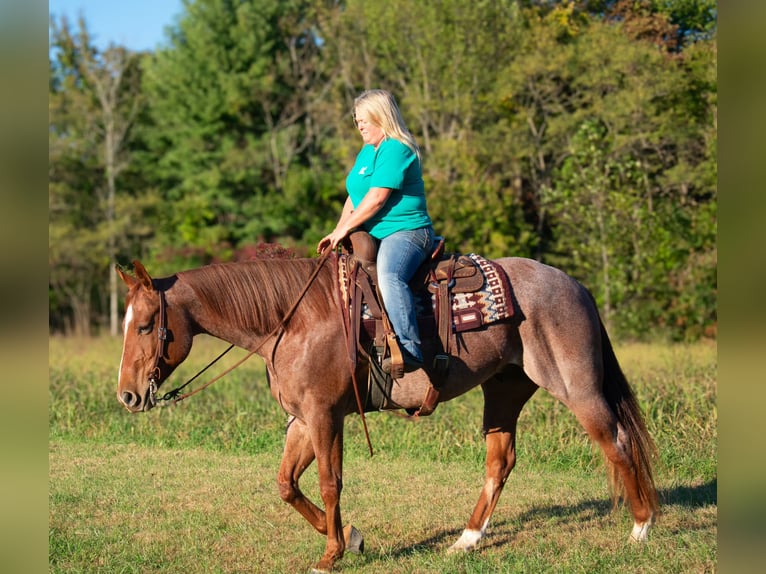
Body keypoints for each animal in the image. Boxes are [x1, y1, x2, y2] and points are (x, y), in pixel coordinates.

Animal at [115, 258, 660, 574]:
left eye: (145, 325)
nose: (127, 396)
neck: (293, 321)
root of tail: (575, 285)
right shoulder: (301, 420)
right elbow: (287, 484)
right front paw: (349, 538)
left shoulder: (324, 416)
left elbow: (330, 482)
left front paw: (331, 553)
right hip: (504, 391)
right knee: (500, 463)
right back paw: (466, 540)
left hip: (577, 387)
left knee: (616, 442)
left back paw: (642, 528)